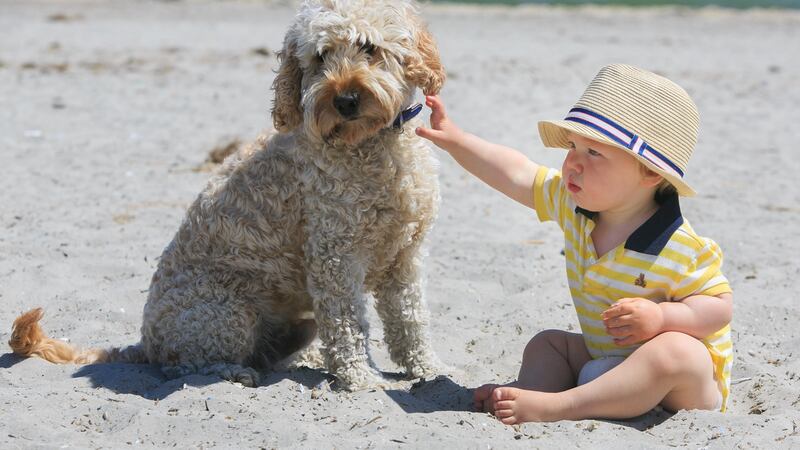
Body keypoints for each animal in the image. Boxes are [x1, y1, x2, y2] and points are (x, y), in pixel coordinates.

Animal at [7, 0, 444, 390]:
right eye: (320, 57)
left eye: (369, 47)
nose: (345, 100)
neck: (372, 146)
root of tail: (145, 343)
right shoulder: (335, 256)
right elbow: (348, 323)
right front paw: (360, 378)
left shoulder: (404, 256)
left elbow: (410, 320)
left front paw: (427, 369)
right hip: (227, 315)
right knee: (185, 366)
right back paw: (234, 372)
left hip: (291, 323)